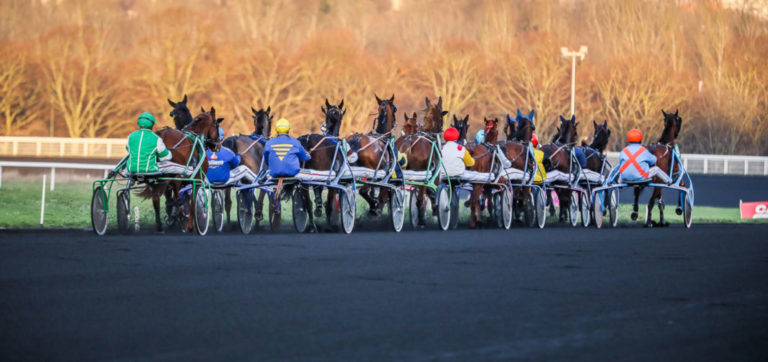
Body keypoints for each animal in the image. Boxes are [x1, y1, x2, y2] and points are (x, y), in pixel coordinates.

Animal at [396, 96, 450, 226]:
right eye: (441, 117)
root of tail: (408, 142)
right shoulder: (434, 172)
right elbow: (434, 190)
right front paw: (436, 209)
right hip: (421, 174)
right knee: (420, 198)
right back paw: (420, 218)